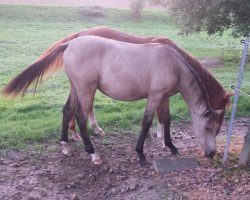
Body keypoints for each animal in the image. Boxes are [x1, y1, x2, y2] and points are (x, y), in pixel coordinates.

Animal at [2, 34, 232, 166]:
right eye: (207, 128)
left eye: (217, 129)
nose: (211, 153)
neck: (173, 63)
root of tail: (70, 44)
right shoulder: (155, 95)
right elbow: (147, 121)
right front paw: (141, 155)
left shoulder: (164, 97)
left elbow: (166, 119)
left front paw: (171, 147)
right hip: (86, 90)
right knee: (81, 117)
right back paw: (93, 154)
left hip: (76, 87)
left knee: (67, 111)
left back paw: (65, 145)